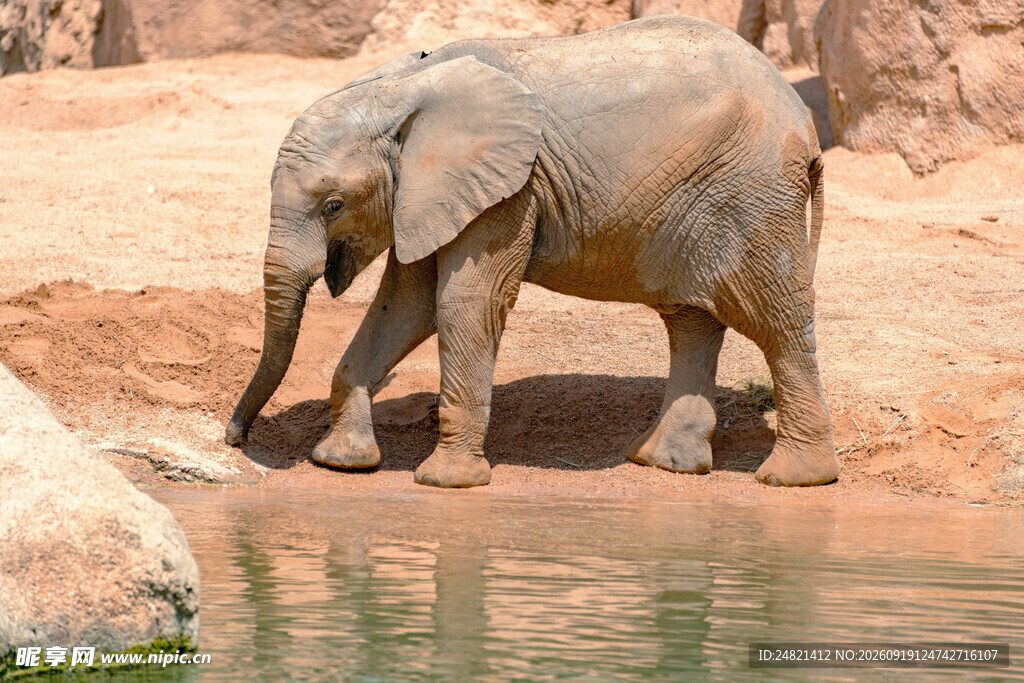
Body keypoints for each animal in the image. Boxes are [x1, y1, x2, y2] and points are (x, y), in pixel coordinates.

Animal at [224, 14, 840, 489]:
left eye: (333, 205)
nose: (234, 437)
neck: (399, 88)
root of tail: (803, 120)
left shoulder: (509, 189)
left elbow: (464, 302)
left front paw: (445, 483)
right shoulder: (430, 192)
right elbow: (405, 306)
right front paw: (342, 463)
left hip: (755, 195)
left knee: (776, 321)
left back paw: (793, 478)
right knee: (692, 320)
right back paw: (662, 463)